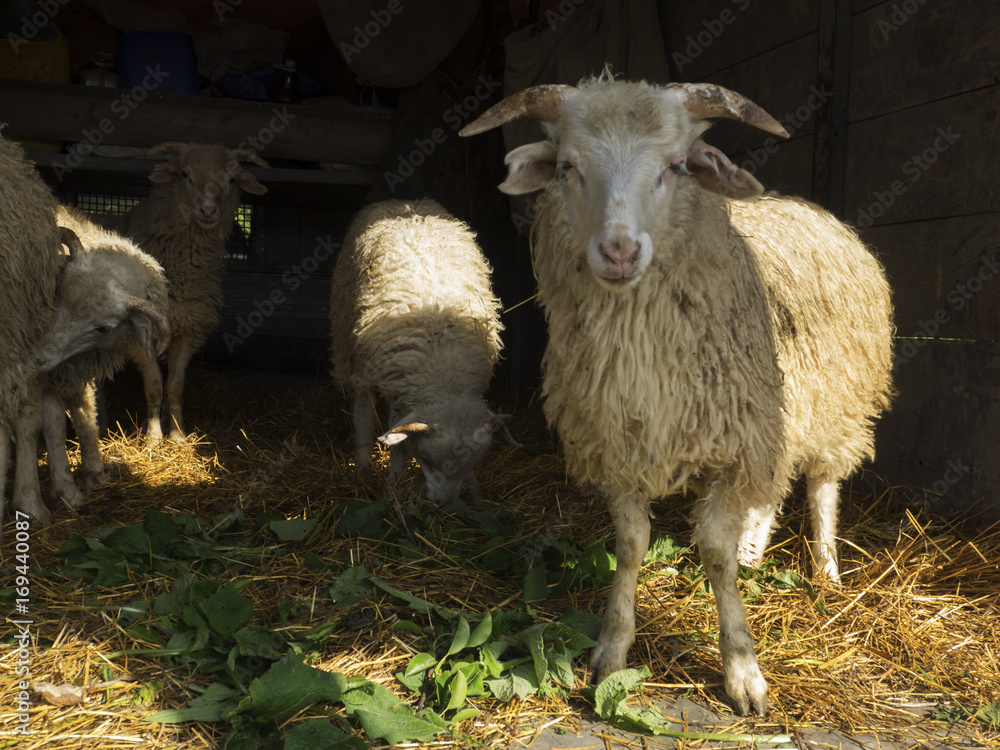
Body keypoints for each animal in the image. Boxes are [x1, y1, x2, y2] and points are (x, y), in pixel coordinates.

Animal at [95, 142, 269, 445]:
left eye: (231, 179)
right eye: (185, 174)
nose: (208, 210)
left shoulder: (189, 327)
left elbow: (175, 385)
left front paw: (177, 435)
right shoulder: (139, 333)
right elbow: (154, 384)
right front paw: (153, 438)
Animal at [329, 198, 513, 504]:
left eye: (471, 465)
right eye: (427, 461)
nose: (443, 503)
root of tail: (405, 203)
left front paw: (474, 490)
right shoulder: (396, 383)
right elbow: (398, 443)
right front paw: (393, 486)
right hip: (351, 341)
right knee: (362, 404)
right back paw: (363, 464)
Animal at [459, 77, 894, 716]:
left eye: (674, 166)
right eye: (567, 166)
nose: (618, 252)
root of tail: (797, 202)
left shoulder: (734, 442)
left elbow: (714, 553)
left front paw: (742, 668)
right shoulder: (619, 443)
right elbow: (631, 545)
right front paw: (612, 648)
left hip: (834, 399)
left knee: (821, 485)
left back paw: (827, 572)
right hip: (777, 413)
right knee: (772, 489)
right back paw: (755, 553)